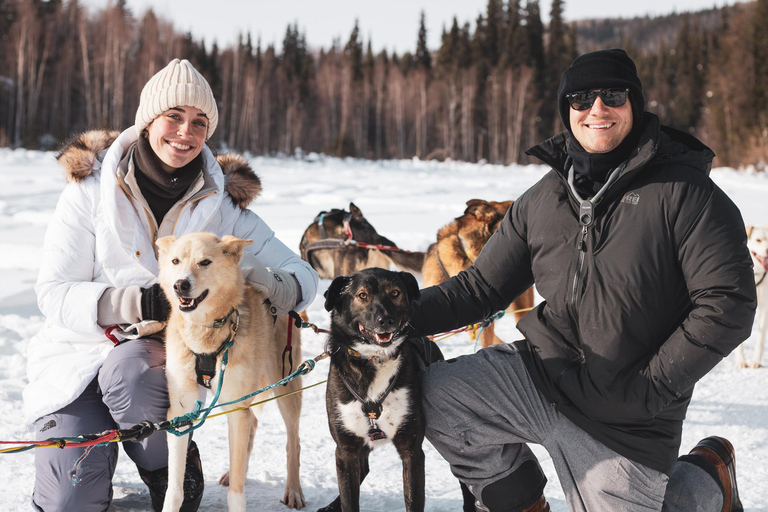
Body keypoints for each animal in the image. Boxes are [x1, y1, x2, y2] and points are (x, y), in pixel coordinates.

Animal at [157, 234, 306, 510]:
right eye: (175, 261)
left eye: (205, 262)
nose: (180, 284)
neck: (205, 334)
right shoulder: (181, 412)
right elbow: (174, 489)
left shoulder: (237, 410)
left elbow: (236, 493)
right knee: (253, 424)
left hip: (285, 386)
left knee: (293, 441)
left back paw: (293, 490)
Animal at [732, 226, 768, 366]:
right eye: (758, 240)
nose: (767, 249)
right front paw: (741, 361)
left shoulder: (764, 306)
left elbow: (761, 336)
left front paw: (756, 361)